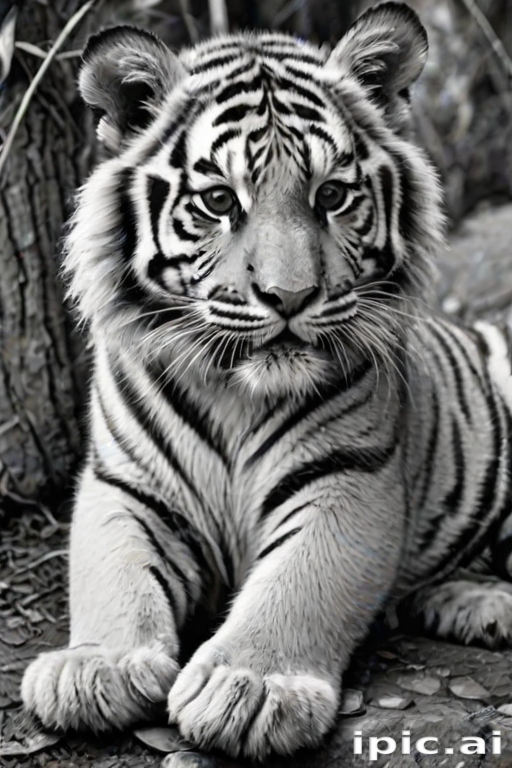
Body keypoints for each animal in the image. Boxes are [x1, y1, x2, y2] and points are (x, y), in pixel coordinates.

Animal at [21, 1, 512, 760]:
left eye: (332, 194)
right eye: (220, 201)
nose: (290, 296)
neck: (235, 393)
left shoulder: (349, 476)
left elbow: (298, 585)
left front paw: (251, 688)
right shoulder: (124, 484)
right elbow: (112, 575)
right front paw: (94, 667)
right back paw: (475, 604)